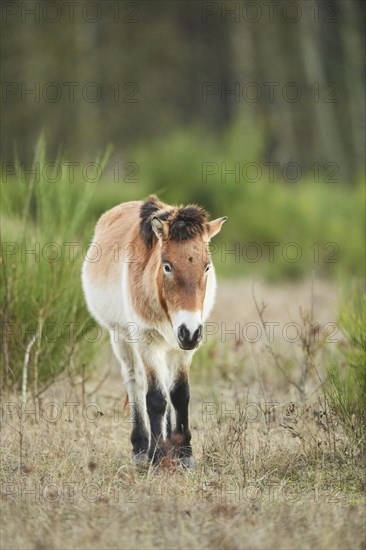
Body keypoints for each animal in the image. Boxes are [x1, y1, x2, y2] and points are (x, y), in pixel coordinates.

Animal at [82, 196, 227, 468]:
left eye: (206, 267)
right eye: (167, 266)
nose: (189, 332)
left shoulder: (184, 350)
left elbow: (179, 395)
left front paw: (184, 453)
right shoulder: (148, 342)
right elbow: (156, 398)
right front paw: (157, 456)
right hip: (123, 338)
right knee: (135, 382)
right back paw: (140, 449)